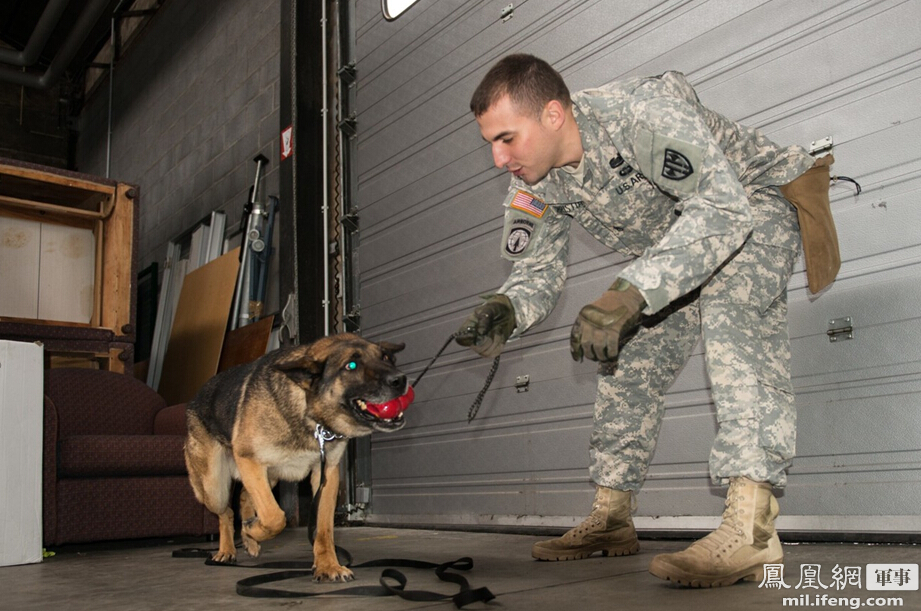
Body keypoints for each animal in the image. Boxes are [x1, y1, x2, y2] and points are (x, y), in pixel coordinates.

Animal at [185, 338, 412, 580]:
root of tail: (195, 399)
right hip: (214, 488)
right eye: (351, 365)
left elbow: (323, 528)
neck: (308, 412)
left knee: (245, 496)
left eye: (385, 357)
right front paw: (253, 529)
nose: (400, 380)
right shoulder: (248, 459)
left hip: (269, 476)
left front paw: (327, 565)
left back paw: (249, 539)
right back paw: (227, 549)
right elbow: (275, 517)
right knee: (226, 512)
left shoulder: (326, 474)